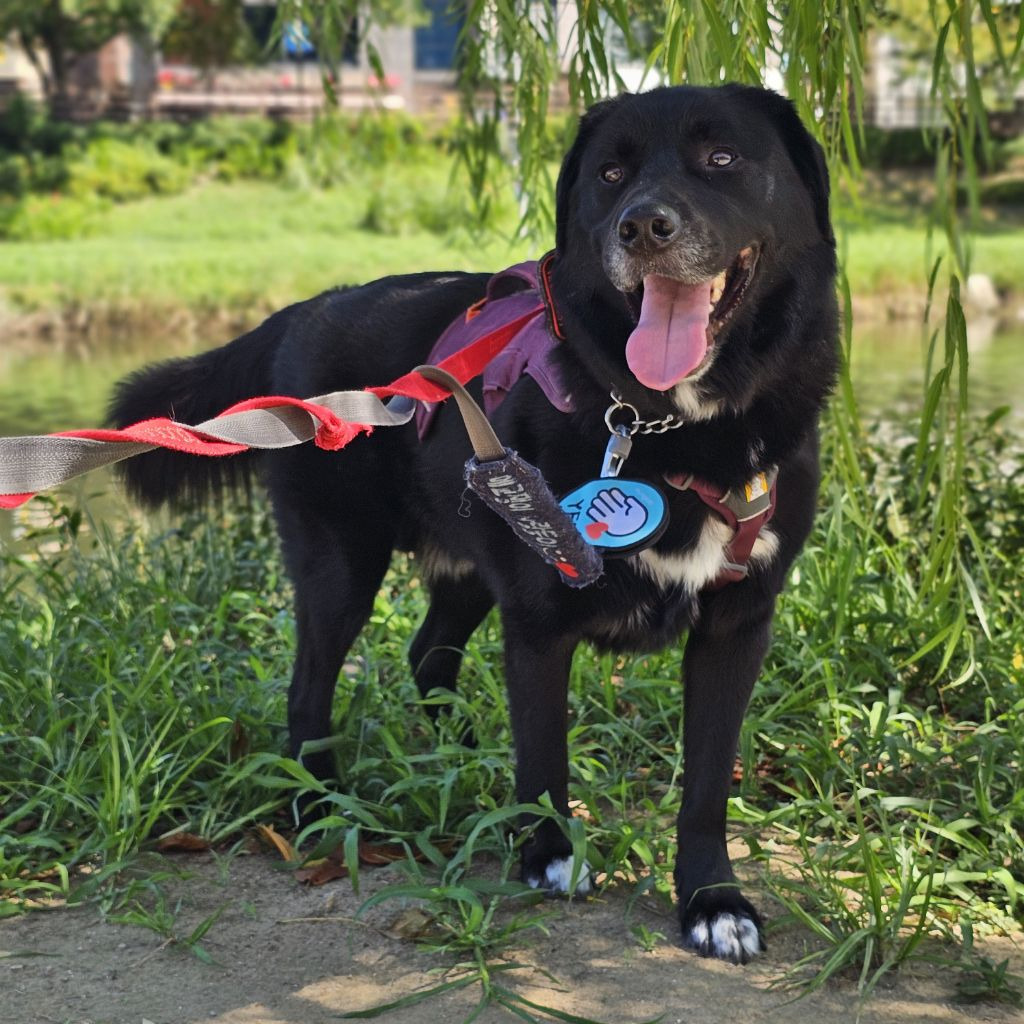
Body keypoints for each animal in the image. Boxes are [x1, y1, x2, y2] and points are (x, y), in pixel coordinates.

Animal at [110, 84, 838, 964]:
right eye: (611, 173)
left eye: (722, 157)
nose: (642, 226)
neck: (661, 424)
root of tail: (301, 309)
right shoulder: (539, 617)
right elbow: (546, 751)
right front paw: (547, 851)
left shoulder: (738, 623)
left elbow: (704, 783)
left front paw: (712, 901)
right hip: (341, 562)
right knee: (310, 686)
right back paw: (319, 807)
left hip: (470, 562)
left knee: (428, 655)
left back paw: (463, 760)